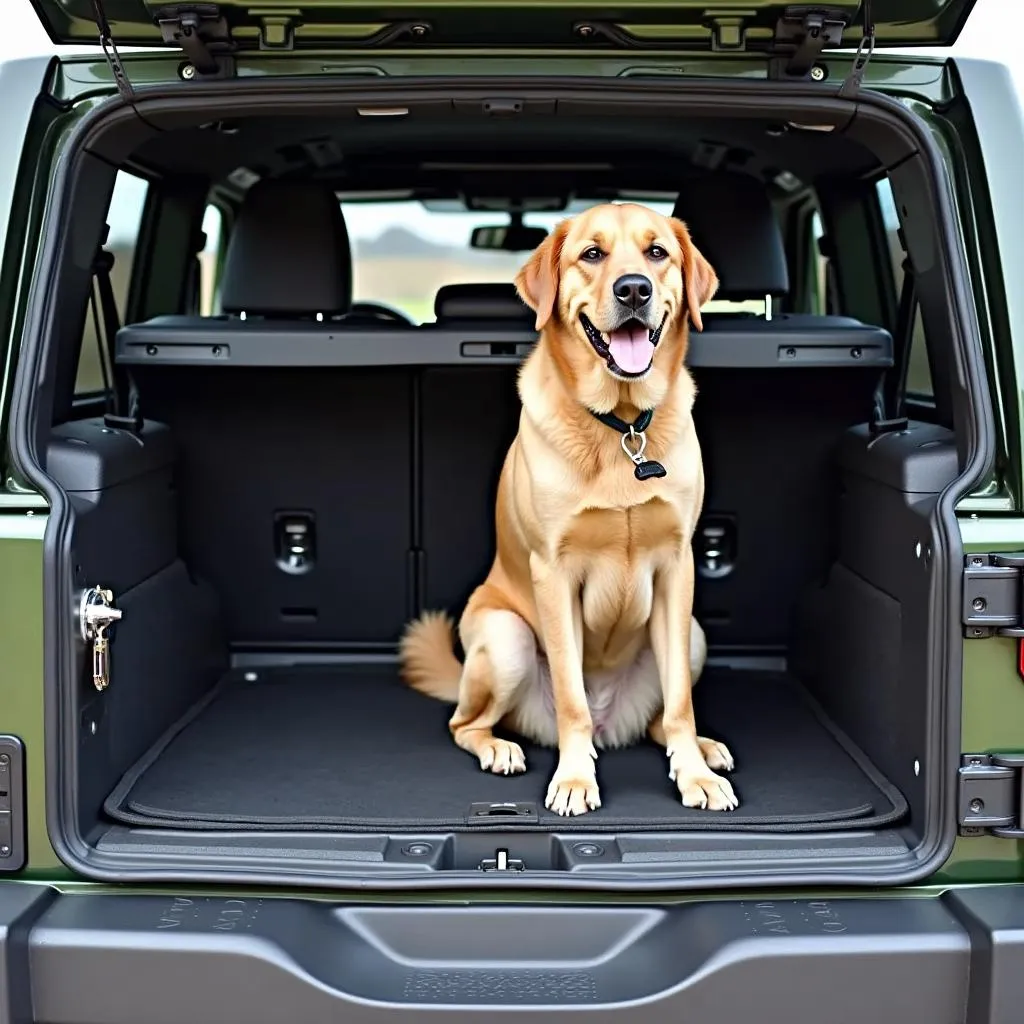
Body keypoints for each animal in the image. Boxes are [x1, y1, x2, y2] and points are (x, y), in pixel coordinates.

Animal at [395, 201, 741, 815]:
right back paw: (499, 748)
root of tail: (613, 722)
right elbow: (571, 695)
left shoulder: (677, 567)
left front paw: (695, 776)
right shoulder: (553, 574)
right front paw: (576, 779)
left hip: (693, 633)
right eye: (592, 254)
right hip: (506, 639)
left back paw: (702, 748)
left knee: (660, 719)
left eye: (657, 252)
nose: (634, 289)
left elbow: (680, 700)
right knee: (467, 723)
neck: (623, 426)